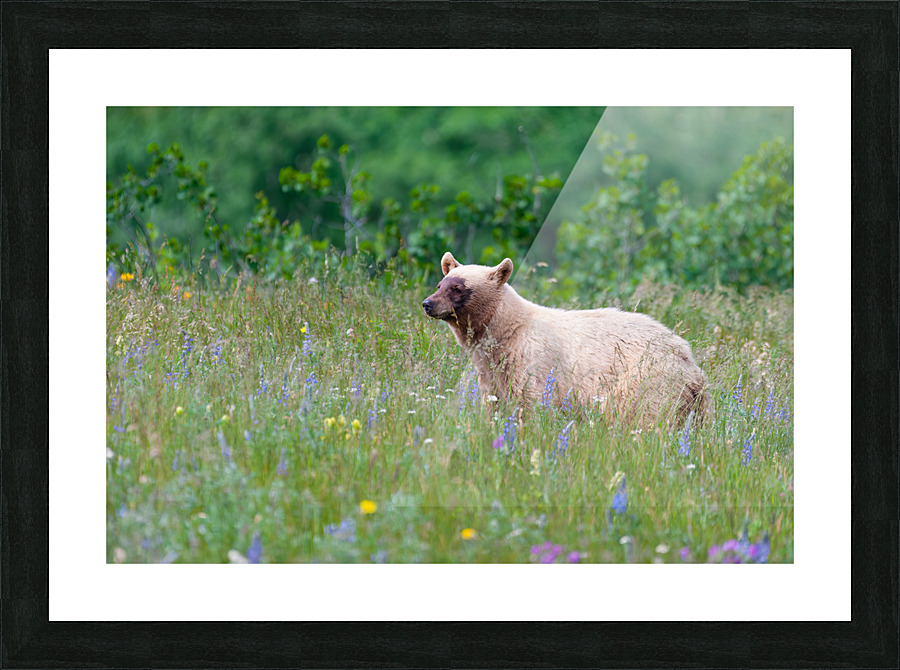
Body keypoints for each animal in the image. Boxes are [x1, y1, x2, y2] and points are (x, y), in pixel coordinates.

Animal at [422, 252, 710, 427]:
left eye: (457, 287)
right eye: (440, 284)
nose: (428, 304)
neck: (506, 330)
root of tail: (690, 362)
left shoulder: (532, 361)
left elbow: (532, 404)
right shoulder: (493, 371)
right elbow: (494, 401)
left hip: (647, 383)